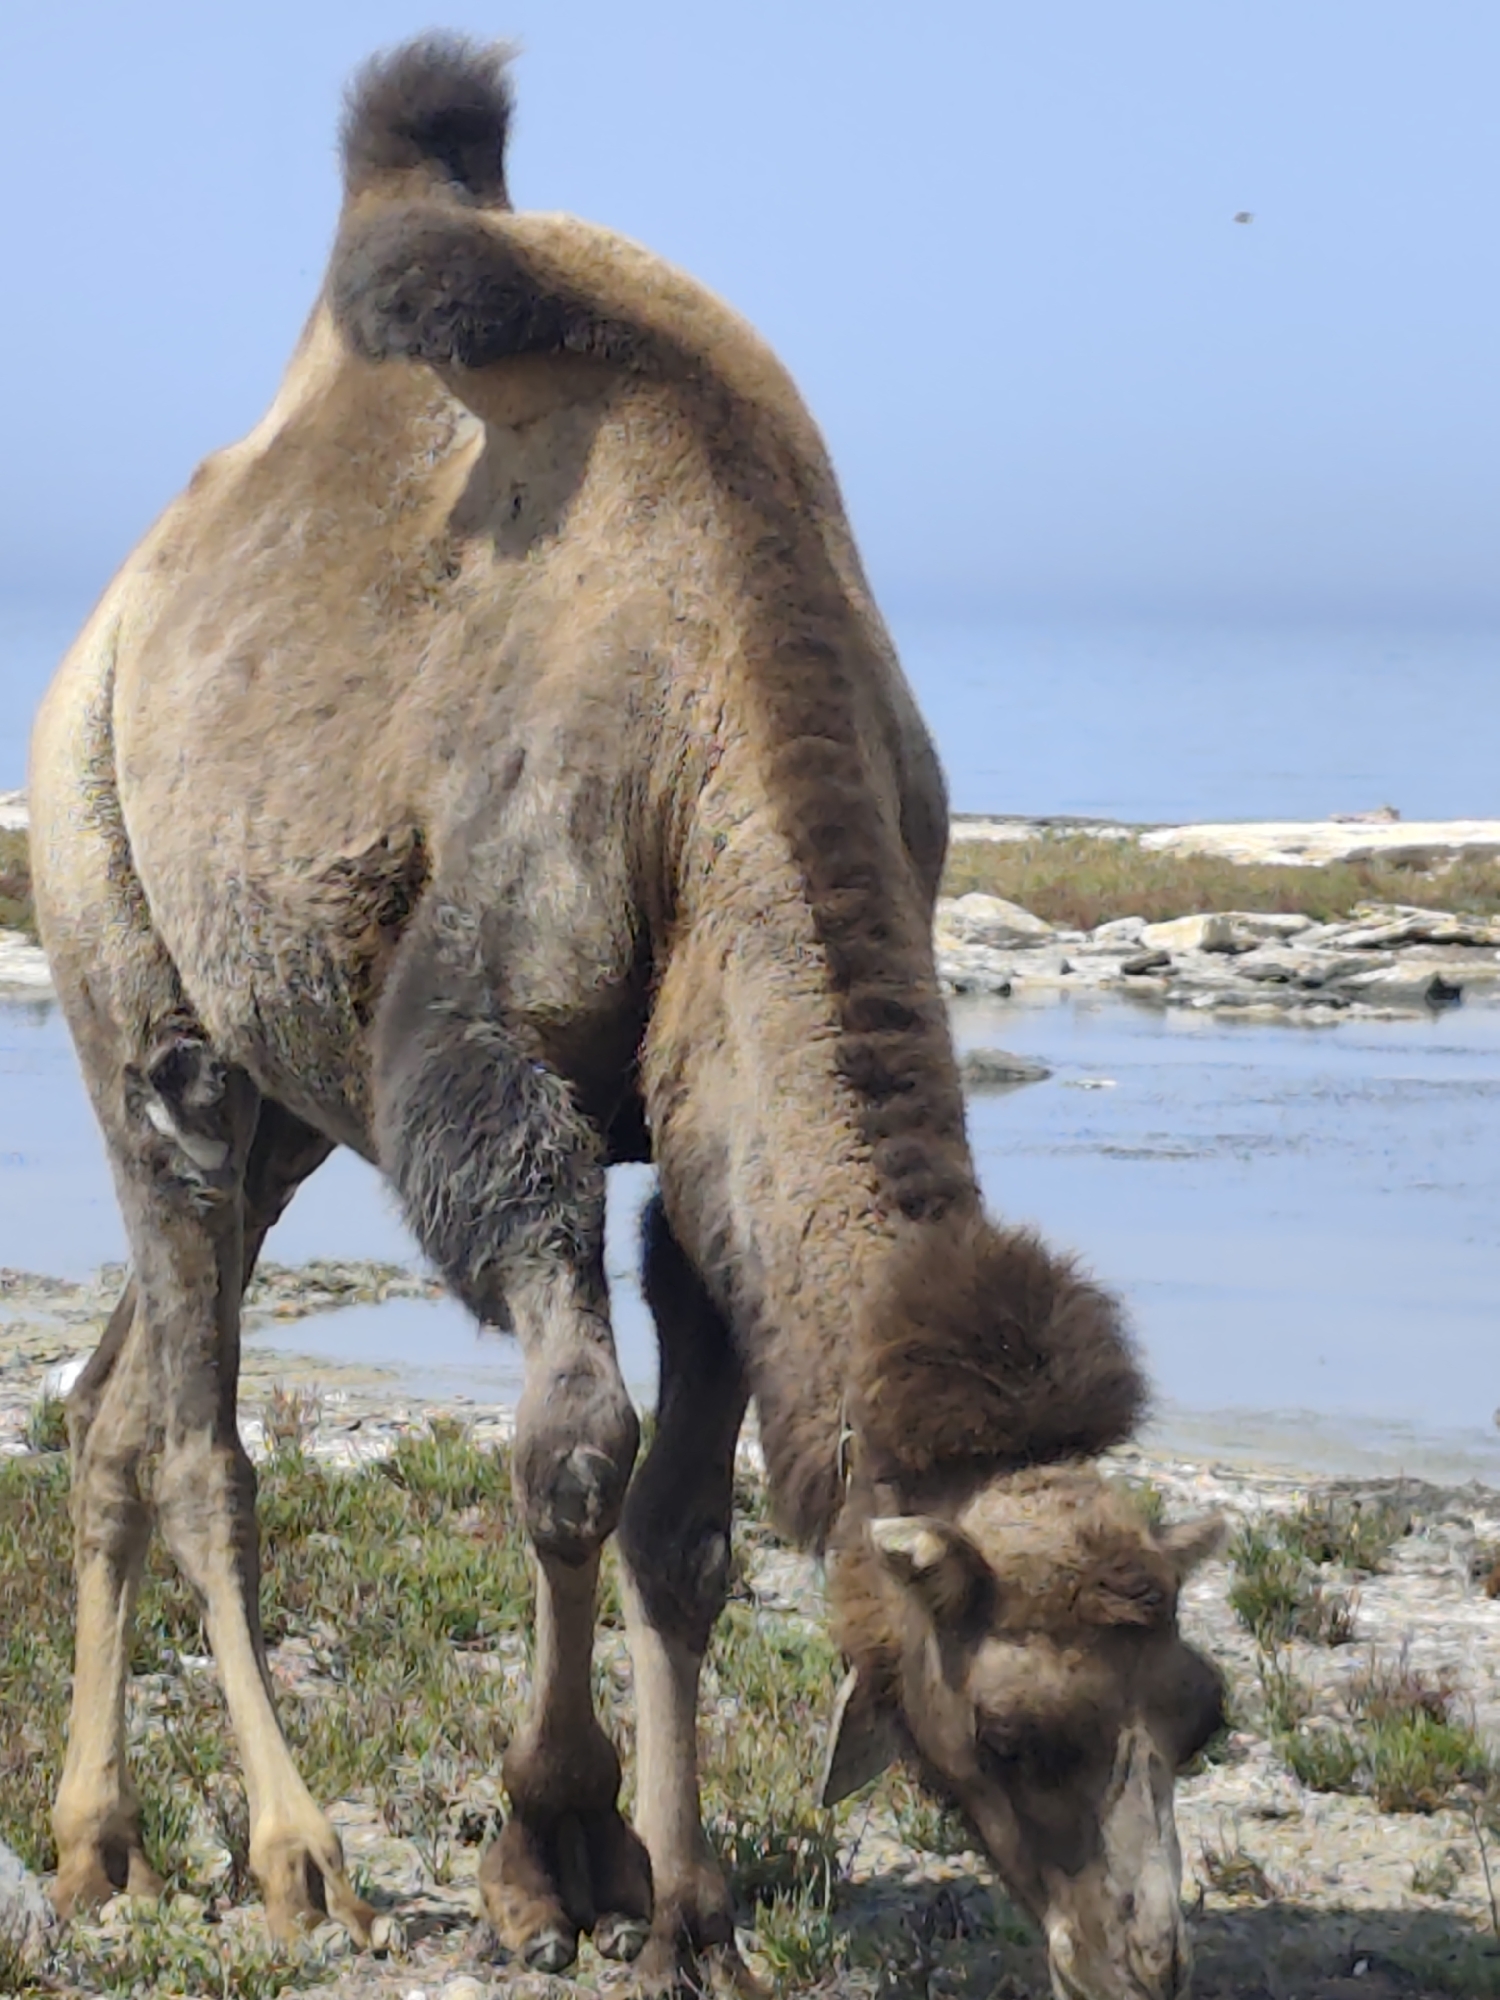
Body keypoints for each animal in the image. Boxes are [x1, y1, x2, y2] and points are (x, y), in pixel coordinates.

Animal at [27, 36, 1225, 1998]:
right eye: (1018, 1730)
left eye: (1196, 1717)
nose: (1139, 1959)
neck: (724, 696)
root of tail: (109, 625)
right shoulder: (491, 1064)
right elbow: (575, 1456)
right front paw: (550, 1853)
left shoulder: (705, 1113)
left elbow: (686, 1526)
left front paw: (687, 1905)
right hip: (110, 928)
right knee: (203, 1426)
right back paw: (295, 1861)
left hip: (284, 1104)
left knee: (115, 1401)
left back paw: (96, 1844)